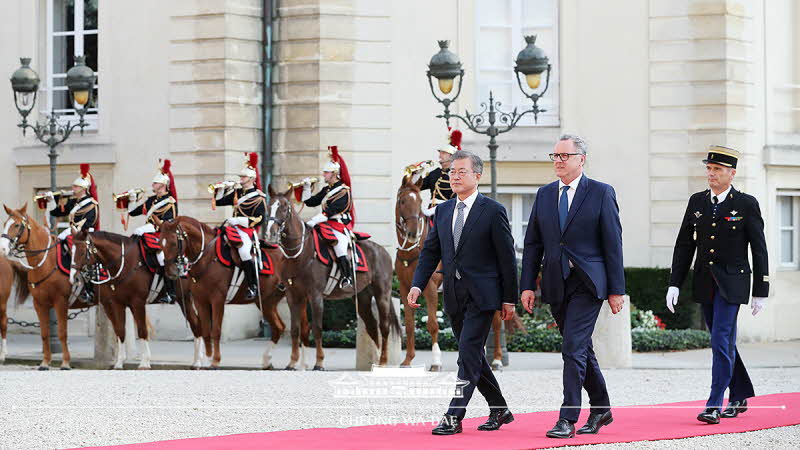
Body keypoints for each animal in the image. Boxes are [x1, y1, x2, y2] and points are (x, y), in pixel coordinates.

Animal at [0, 204, 94, 370]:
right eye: (5, 223)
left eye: (17, 225)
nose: (3, 249)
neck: (45, 262)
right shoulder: (39, 304)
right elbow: (44, 333)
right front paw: (45, 362)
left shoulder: (60, 302)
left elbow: (62, 332)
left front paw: (65, 362)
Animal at [69, 229, 206, 370]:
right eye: (70, 251)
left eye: (82, 251)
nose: (74, 277)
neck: (125, 264)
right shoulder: (117, 304)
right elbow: (120, 331)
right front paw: (119, 363)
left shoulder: (137, 303)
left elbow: (142, 330)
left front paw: (144, 362)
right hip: (184, 299)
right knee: (196, 324)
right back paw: (196, 361)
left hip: (187, 299)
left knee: (196, 324)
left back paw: (198, 361)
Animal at [159, 217, 288, 370]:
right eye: (160, 243)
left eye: (174, 243)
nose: (170, 272)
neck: (206, 258)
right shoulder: (200, 300)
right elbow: (205, 331)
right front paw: (207, 359)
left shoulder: (217, 300)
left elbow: (215, 330)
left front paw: (215, 360)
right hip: (267, 302)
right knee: (279, 327)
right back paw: (267, 361)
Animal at [262, 185, 400, 370]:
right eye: (269, 206)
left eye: (285, 207)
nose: (270, 233)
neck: (299, 253)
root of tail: (382, 250)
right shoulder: (293, 296)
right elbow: (295, 329)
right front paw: (292, 362)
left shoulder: (315, 296)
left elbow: (317, 328)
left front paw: (319, 362)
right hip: (363, 297)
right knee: (371, 326)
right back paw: (376, 362)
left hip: (382, 294)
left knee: (384, 326)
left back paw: (384, 361)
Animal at [392, 175, 444, 370]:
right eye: (402, 201)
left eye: (420, 201)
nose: (413, 233)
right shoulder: (406, 289)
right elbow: (408, 325)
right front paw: (407, 359)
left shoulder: (431, 289)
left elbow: (432, 324)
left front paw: (436, 361)